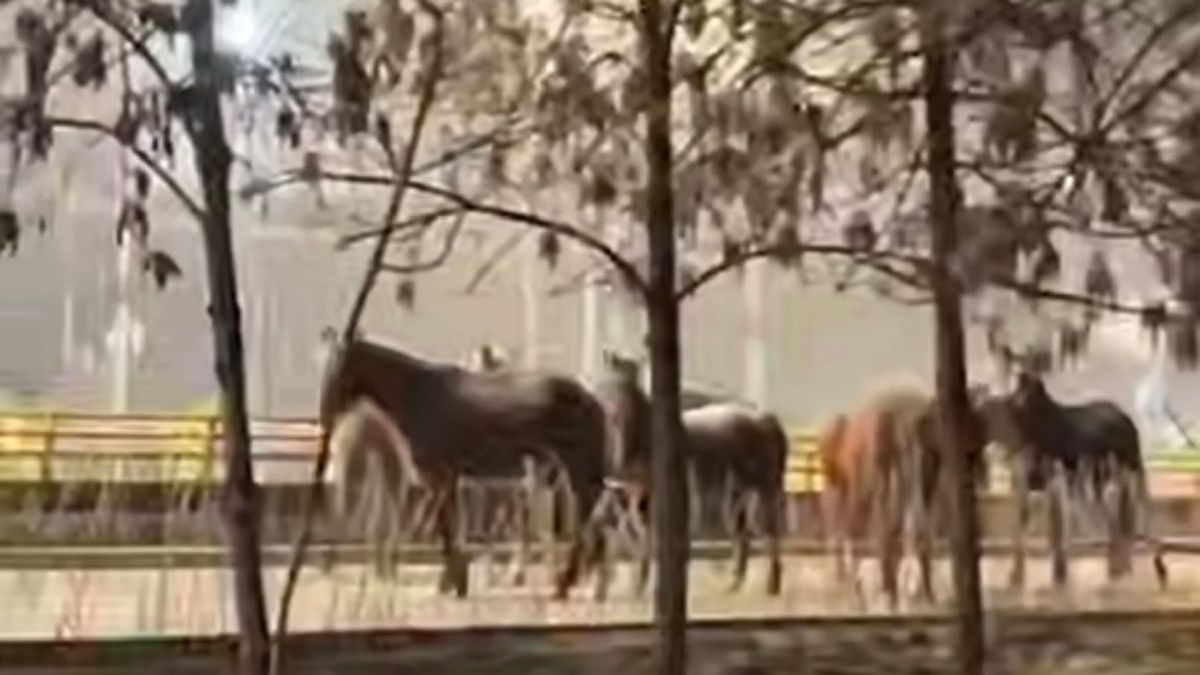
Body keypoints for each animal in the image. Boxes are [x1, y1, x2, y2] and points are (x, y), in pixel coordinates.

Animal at [319, 336, 609, 598]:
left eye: (338, 366)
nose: (326, 415)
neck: (419, 394)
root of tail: (589, 398)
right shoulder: (448, 480)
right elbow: (450, 527)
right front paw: (456, 582)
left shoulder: (439, 477)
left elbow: (447, 529)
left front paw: (451, 582)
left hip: (577, 471)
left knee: (587, 523)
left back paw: (568, 584)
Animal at [597, 352, 787, 595]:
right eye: (609, 381)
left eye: (632, 381)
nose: (614, 411)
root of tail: (766, 418)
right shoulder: (637, 494)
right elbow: (642, 536)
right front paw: (640, 585)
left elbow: (657, 537)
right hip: (738, 491)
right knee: (743, 534)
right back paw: (735, 584)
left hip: (765, 486)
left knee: (771, 530)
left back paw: (772, 584)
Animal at [972, 371, 1166, 590]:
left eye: (986, 413)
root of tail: (1126, 420)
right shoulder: (1030, 485)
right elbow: (1026, 526)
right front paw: (1018, 576)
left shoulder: (1057, 481)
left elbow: (1057, 529)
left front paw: (1057, 575)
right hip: (1107, 481)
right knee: (1119, 521)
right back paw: (1120, 568)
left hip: (1127, 474)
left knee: (1133, 515)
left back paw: (1144, 569)